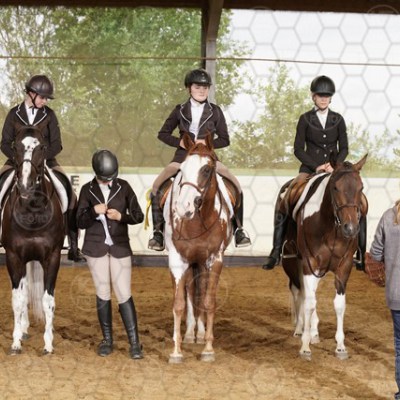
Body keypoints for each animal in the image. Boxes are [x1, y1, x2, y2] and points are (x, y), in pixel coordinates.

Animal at [1, 125, 65, 355]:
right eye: (15, 147)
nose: (26, 186)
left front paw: (48, 343)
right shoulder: (13, 257)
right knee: (24, 291)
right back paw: (23, 328)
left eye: (43, 147)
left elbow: (48, 300)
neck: (33, 210)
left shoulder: (53, 257)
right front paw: (15, 342)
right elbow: (18, 299)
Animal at [163, 133, 234, 363]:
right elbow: (179, 304)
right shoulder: (178, 260)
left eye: (206, 170)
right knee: (190, 291)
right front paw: (176, 351)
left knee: (201, 291)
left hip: (201, 262)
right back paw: (189, 334)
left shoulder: (215, 259)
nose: (183, 207)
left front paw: (208, 349)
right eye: (182, 170)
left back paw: (200, 334)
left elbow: (209, 301)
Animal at [281, 154, 368, 360]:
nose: (350, 228)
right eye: (335, 187)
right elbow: (309, 302)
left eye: (361, 188)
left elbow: (339, 304)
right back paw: (300, 329)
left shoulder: (344, 266)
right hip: (293, 263)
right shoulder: (310, 264)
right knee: (299, 292)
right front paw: (305, 347)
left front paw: (341, 347)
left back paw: (313, 332)